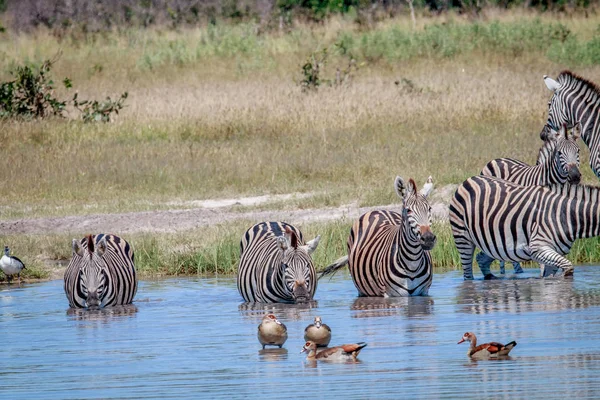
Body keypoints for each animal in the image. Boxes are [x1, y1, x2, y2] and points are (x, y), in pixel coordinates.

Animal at [448, 175, 600, 282]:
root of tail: (469, 179)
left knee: (481, 258)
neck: (565, 214)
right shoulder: (538, 247)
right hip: (462, 237)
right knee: (468, 274)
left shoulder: (554, 251)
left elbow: (550, 276)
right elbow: (568, 269)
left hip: (493, 243)